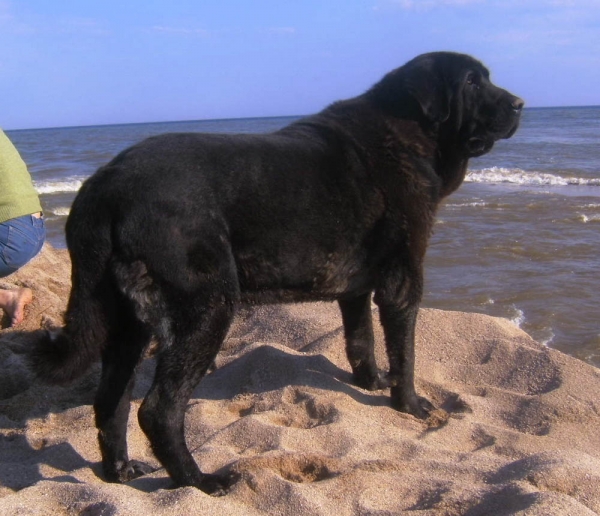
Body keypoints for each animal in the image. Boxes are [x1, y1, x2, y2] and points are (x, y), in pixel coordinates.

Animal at [30, 52, 524, 496]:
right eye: (473, 82)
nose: (520, 103)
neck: (410, 133)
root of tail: (104, 185)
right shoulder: (403, 280)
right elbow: (405, 352)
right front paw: (411, 404)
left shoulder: (356, 289)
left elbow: (361, 340)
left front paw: (371, 382)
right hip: (208, 307)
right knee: (158, 410)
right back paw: (199, 480)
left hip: (128, 322)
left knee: (110, 402)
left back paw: (120, 471)